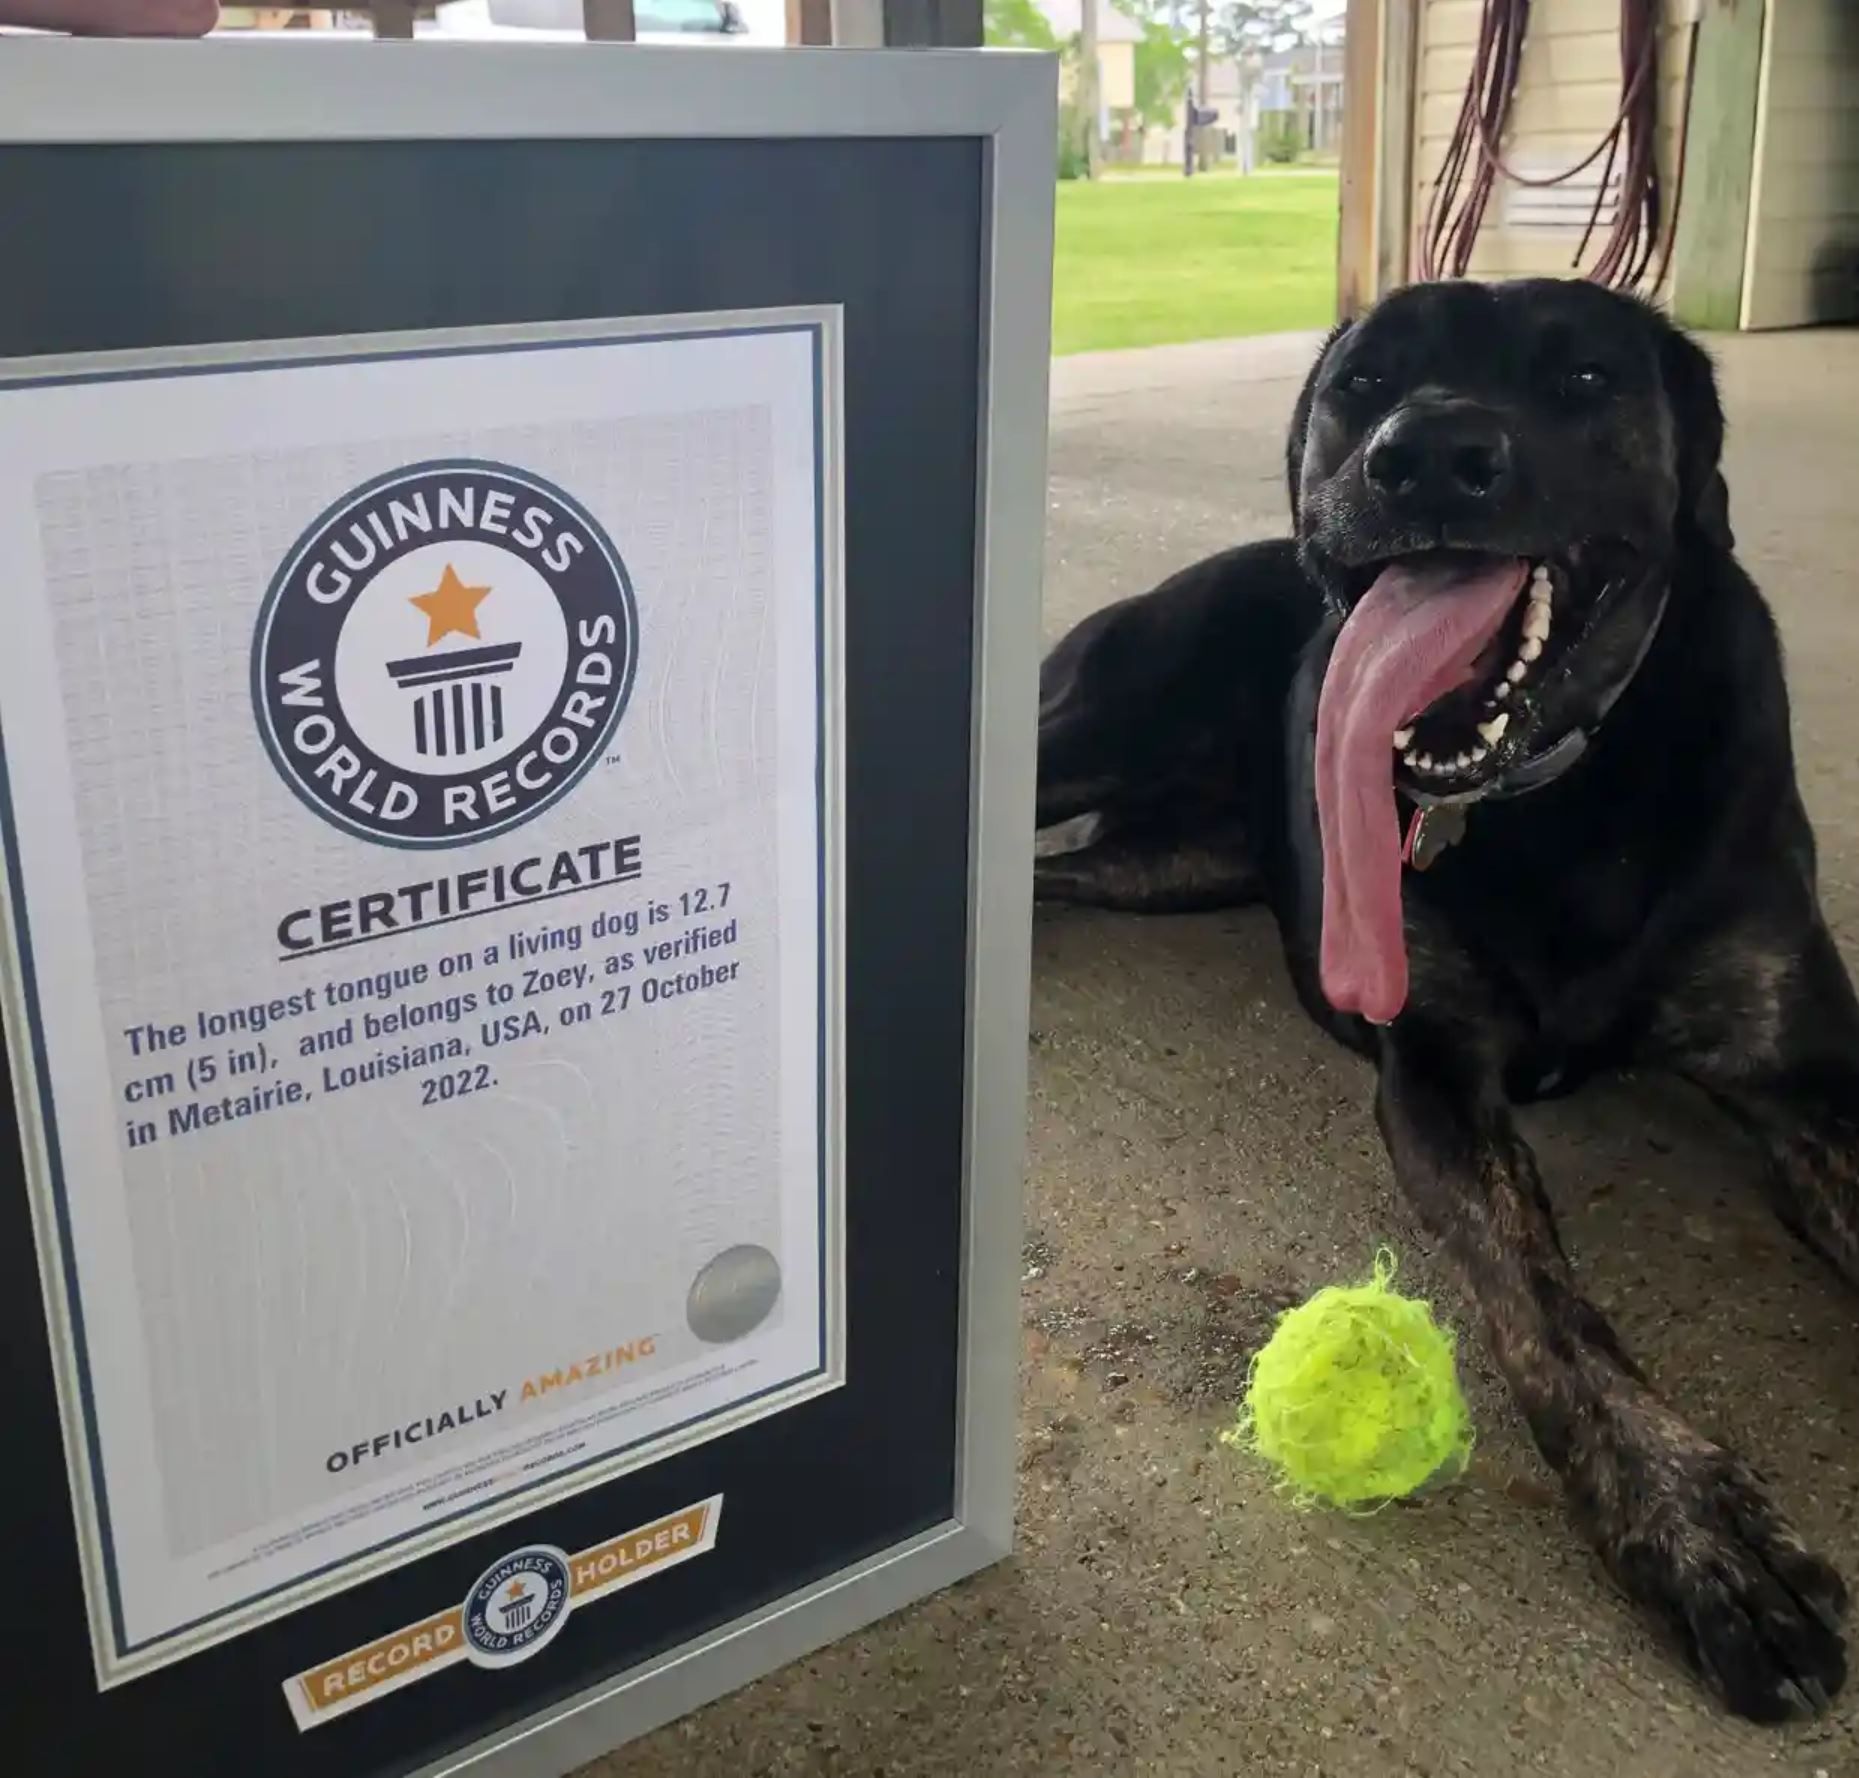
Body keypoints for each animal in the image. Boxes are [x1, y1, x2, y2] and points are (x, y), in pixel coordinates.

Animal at [1033, 280, 1859, 1725]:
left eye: (1583, 375)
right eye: (1361, 384)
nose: (1420, 456)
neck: (1564, 792)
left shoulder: (1810, 1076)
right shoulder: (1432, 1082)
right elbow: (1546, 1310)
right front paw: (1698, 1526)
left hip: (1167, 866)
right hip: (1090, 727)